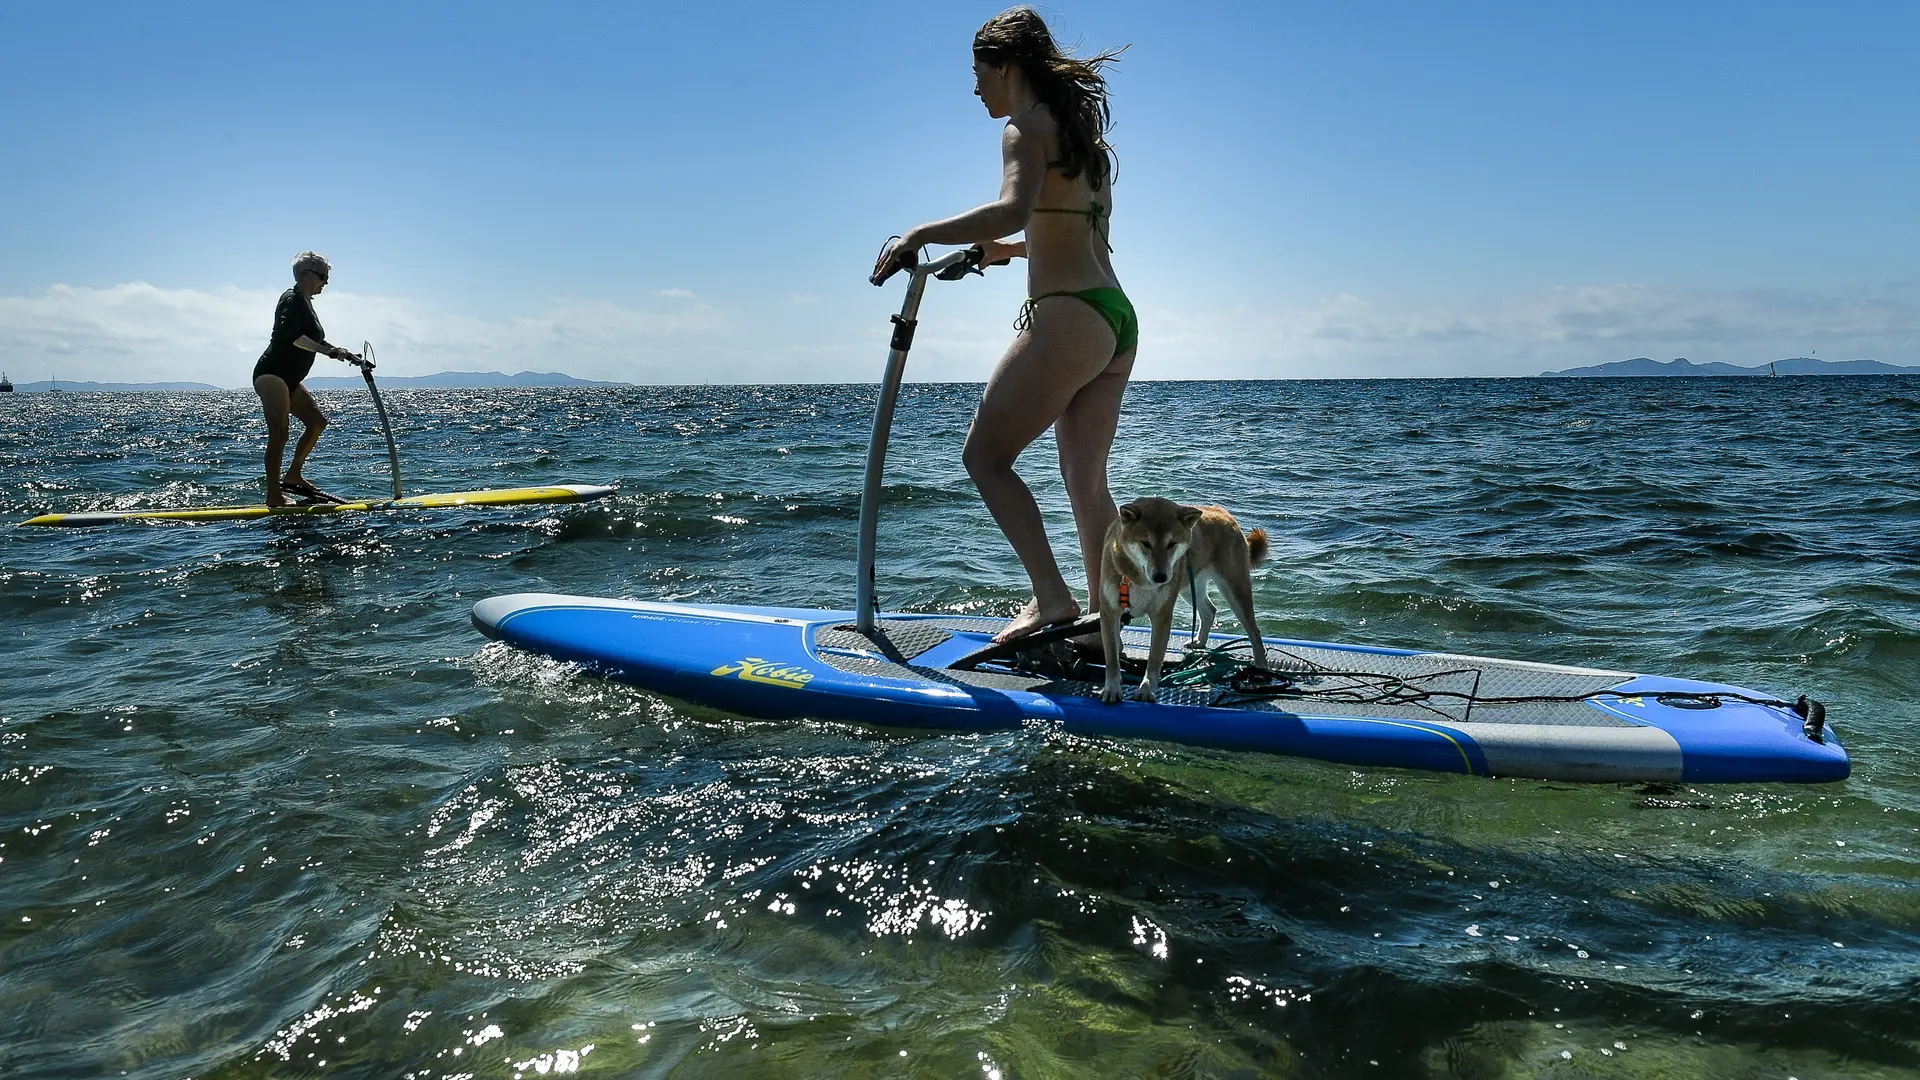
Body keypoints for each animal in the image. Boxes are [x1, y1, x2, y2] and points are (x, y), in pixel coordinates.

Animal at [1105, 495, 1267, 703]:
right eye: (1145, 543)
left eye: (1172, 544)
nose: (1161, 577)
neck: (1141, 581)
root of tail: (1222, 512)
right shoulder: (1109, 612)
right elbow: (1111, 657)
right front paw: (1112, 688)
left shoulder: (1162, 615)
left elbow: (1155, 659)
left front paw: (1146, 689)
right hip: (1191, 587)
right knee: (1209, 611)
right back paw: (1200, 642)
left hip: (1234, 588)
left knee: (1254, 631)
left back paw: (1262, 669)